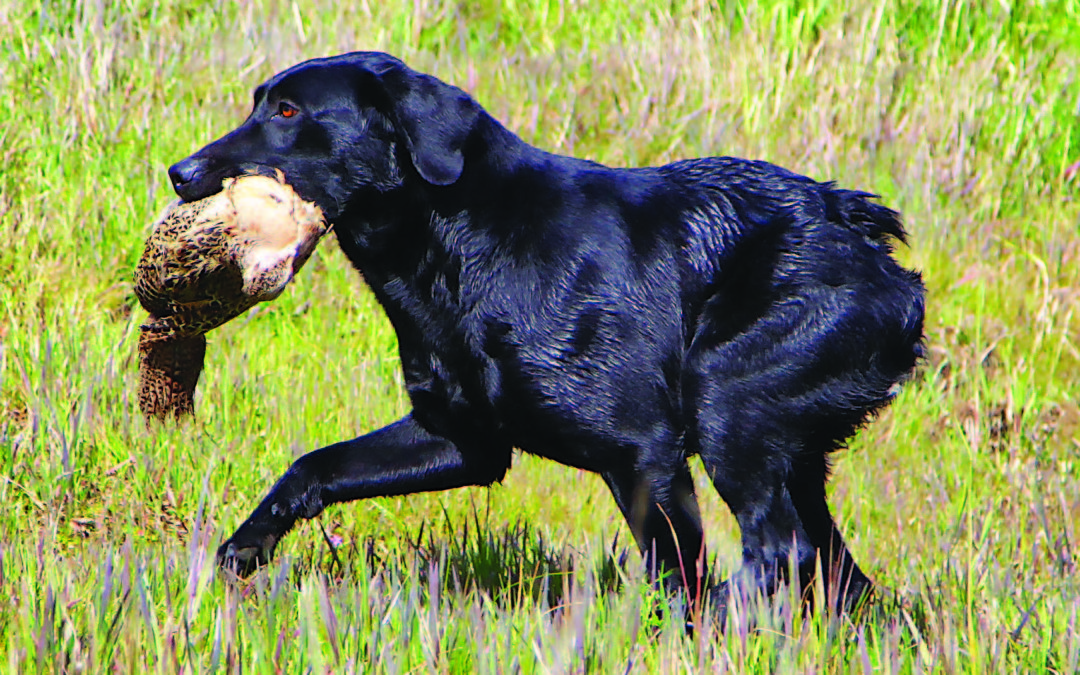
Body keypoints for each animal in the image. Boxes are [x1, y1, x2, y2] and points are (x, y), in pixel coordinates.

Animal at [166, 51, 920, 609]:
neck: (460, 242)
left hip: (731, 408)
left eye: (289, 111)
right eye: (259, 103)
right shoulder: (462, 438)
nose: (180, 172)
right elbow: (312, 466)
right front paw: (242, 549)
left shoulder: (643, 454)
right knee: (836, 568)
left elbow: (677, 577)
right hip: (791, 454)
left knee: (780, 551)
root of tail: (861, 231)